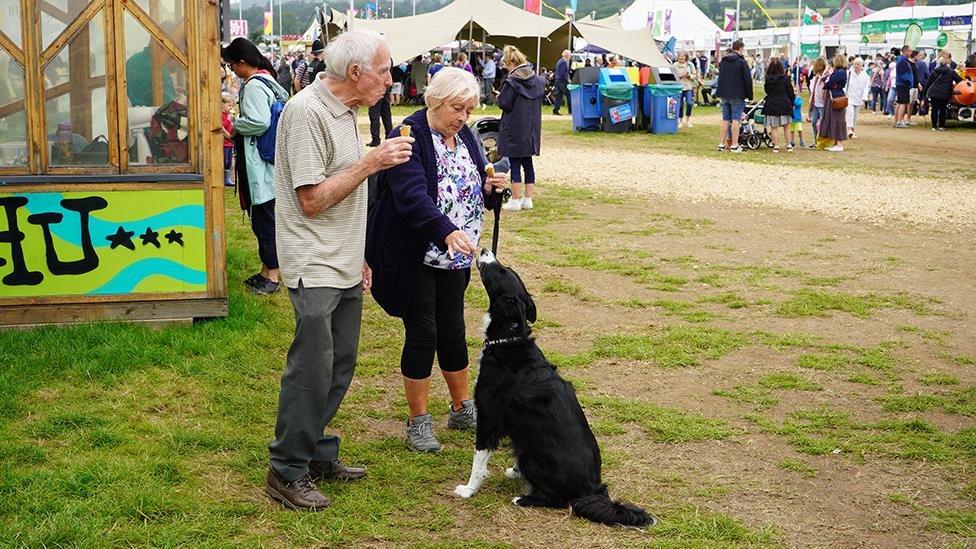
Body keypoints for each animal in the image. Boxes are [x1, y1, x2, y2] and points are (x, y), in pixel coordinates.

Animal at [452, 248, 656, 528]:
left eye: (502, 270)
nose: (484, 250)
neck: (509, 341)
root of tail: (592, 489)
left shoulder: (488, 416)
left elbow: (478, 461)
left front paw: (468, 489)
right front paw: (515, 473)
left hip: (531, 454)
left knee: (559, 500)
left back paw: (524, 499)